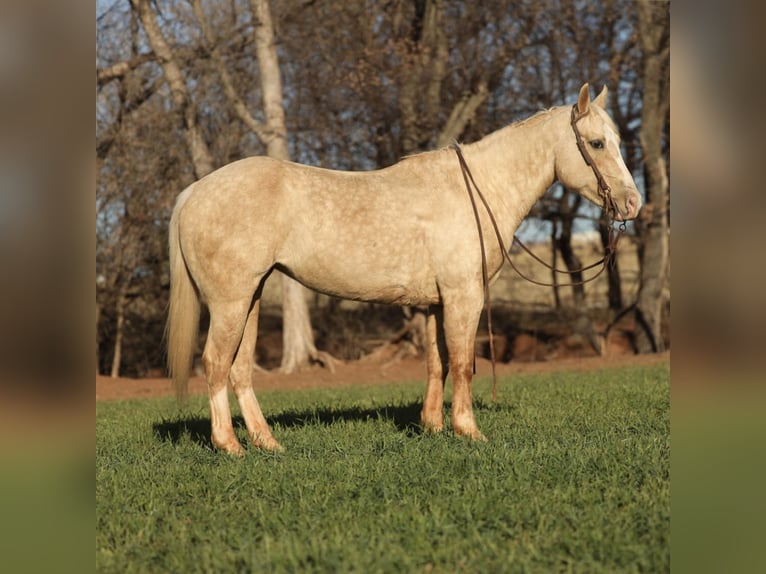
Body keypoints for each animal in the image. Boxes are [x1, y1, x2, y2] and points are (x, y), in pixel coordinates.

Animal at [166, 83, 641, 455]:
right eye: (597, 144)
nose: (633, 204)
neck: (478, 189)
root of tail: (193, 192)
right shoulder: (464, 296)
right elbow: (463, 362)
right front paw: (468, 431)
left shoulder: (435, 303)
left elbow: (437, 362)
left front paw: (432, 427)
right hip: (230, 302)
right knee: (215, 363)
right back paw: (229, 445)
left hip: (251, 297)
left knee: (239, 369)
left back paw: (267, 443)